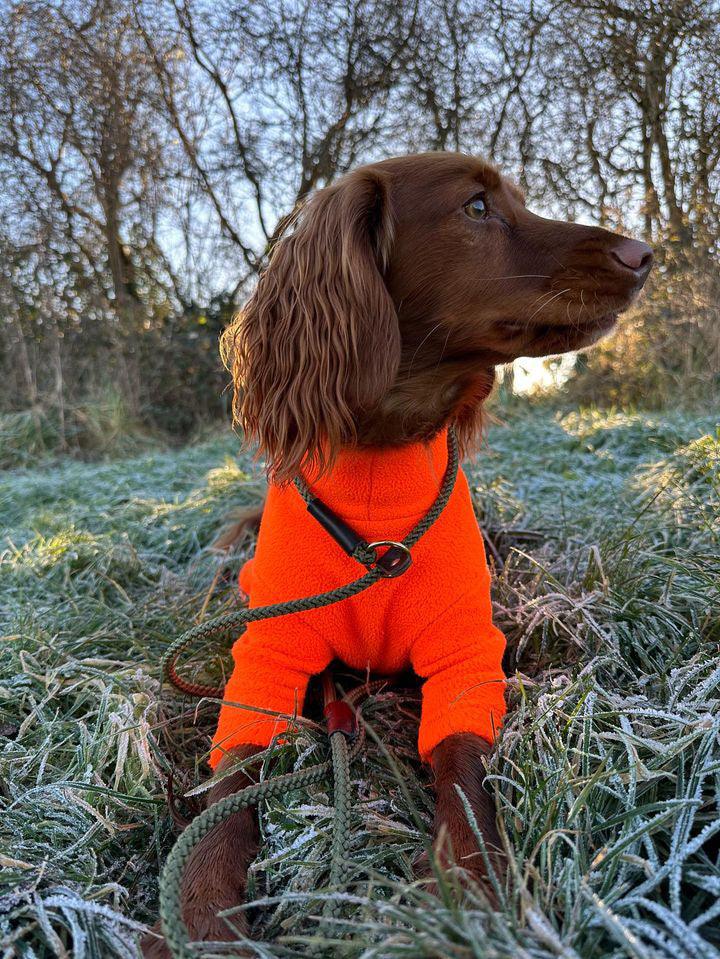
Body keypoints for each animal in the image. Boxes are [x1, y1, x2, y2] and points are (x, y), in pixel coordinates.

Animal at [142, 154, 652, 956]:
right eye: (476, 207)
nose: (644, 253)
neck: (380, 469)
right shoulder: (268, 653)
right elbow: (232, 777)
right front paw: (197, 914)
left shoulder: (464, 651)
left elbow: (466, 769)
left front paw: (466, 890)